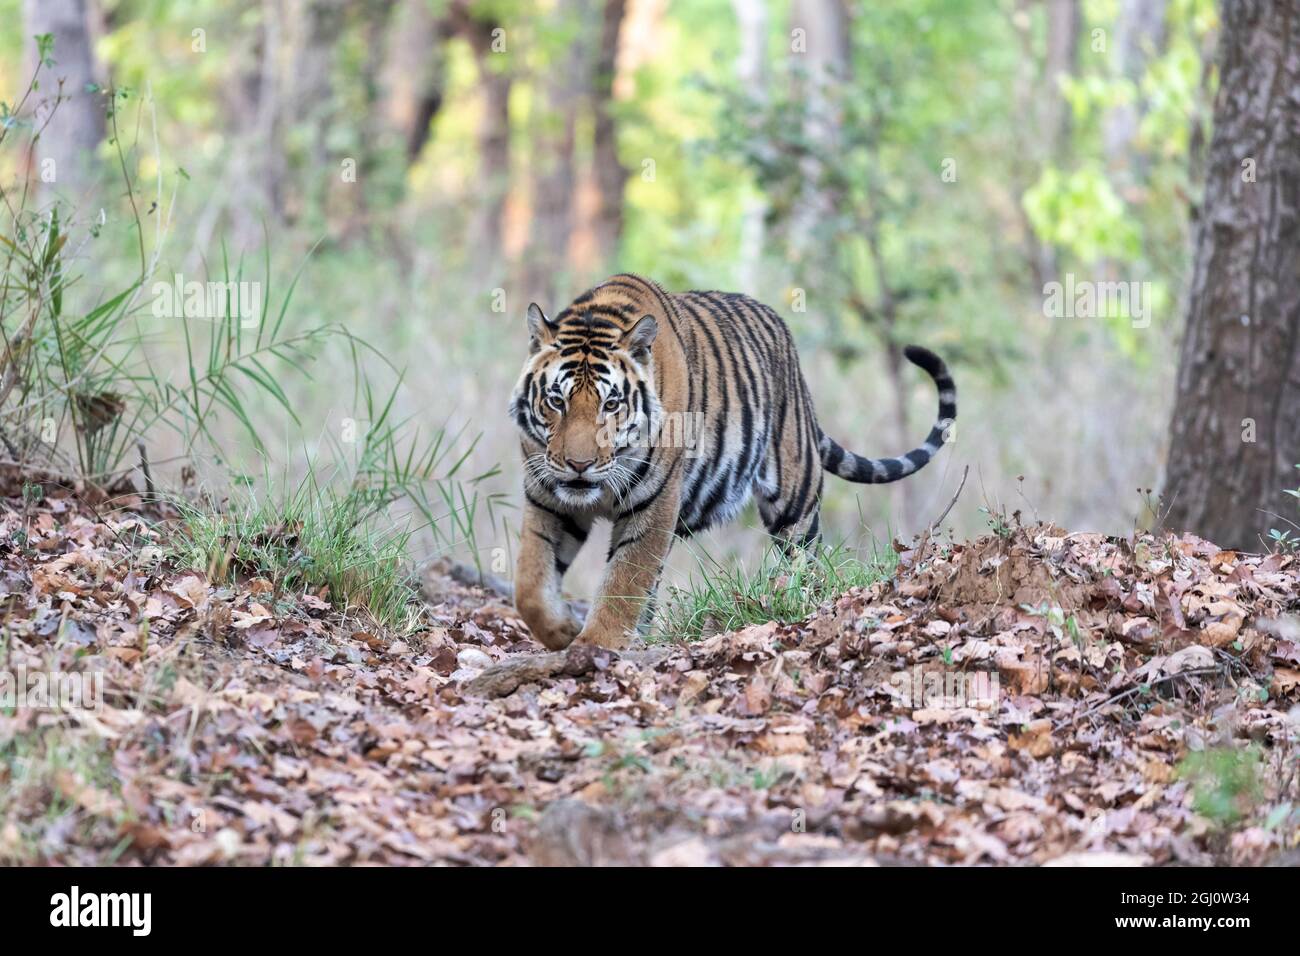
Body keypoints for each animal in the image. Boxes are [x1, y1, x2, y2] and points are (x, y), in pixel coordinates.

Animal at [508, 273, 956, 651]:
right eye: (556, 401)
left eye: (611, 404)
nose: (578, 464)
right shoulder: (547, 497)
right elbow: (530, 582)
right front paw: (562, 631)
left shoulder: (654, 504)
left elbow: (625, 580)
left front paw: (594, 646)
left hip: (794, 503)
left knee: (808, 561)